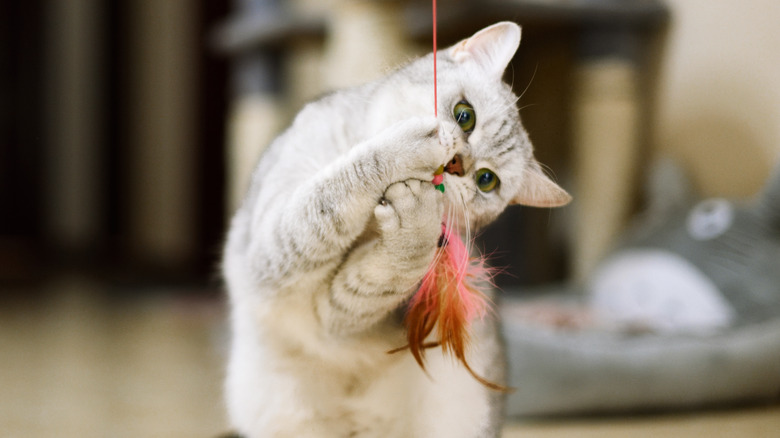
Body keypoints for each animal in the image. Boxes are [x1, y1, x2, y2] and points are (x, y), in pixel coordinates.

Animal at [222, 21, 568, 438]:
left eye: (486, 180)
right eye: (464, 116)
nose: (456, 163)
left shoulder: (337, 316)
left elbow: (384, 269)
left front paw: (414, 224)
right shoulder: (268, 246)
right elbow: (333, 191)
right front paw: (410, 151)